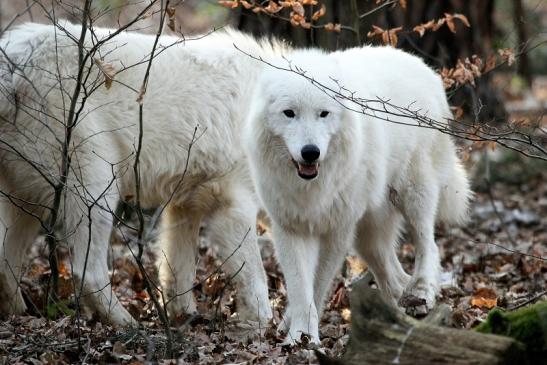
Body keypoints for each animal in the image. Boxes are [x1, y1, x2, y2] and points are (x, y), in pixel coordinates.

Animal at [0, 22, 282, 324]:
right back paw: (127, 323)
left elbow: (177, 274)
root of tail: (15, 60)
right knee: (87, 273)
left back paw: (21, 314)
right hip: (94, 192)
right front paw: (264, 324)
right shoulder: (233, 207)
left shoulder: (184, 207)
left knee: (6, 263)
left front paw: (184, 319)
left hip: (30, 203)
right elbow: (256, 279)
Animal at [244, 47, 470, 342]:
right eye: (289, 113)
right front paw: (297, 335)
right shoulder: (290, 228)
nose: (310, 152)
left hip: (413, 196)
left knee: (428, 246)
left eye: (323, 114)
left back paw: (421, 292)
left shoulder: (337, 231)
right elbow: (300, 286)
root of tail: (425, 68)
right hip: (367, 236)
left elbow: (317, 284)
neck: (311, 187)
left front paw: (306, 338)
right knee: (392, 272)